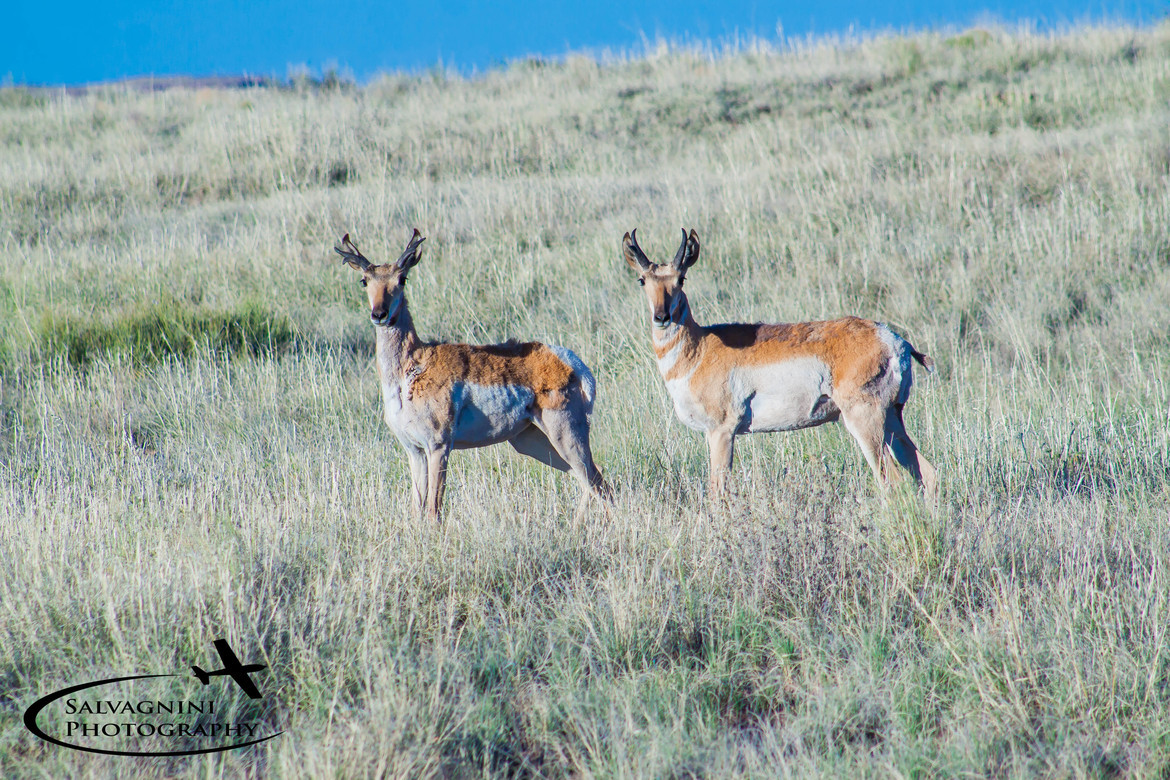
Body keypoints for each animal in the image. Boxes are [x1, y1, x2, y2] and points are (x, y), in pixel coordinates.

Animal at [337, 229, 612, 521]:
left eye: (402, 278)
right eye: (364, 281)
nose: (380, 314)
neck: (411, 369)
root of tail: (572, 362)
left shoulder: (439, 446)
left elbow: (434, 510)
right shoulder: (414, 450)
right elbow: (417, 510)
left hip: (565, 434)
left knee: (599, 483)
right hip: (530, 440)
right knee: (590, 480)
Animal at [623, 228, 937, 499]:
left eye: (681, 279)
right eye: (642, 280)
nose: (662, 317)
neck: (700, 348)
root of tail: (895, 340)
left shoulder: (721, 432)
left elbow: (717, 492)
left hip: (866, 422)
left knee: (891, 481)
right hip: (893, 420)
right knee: (927, 473)